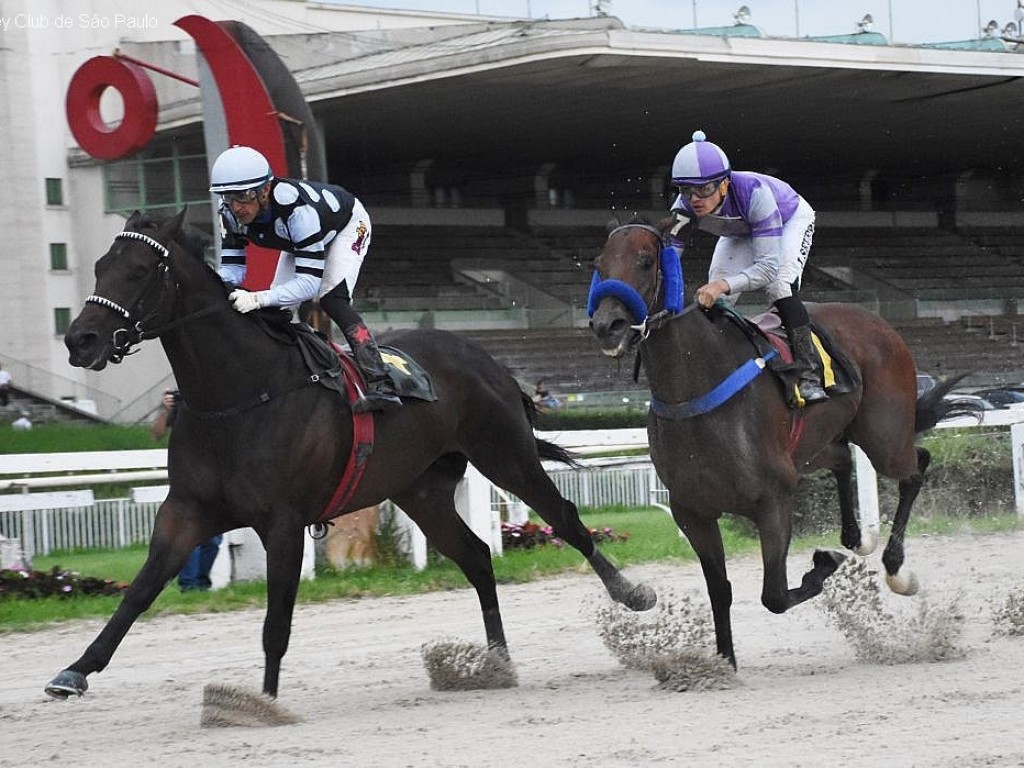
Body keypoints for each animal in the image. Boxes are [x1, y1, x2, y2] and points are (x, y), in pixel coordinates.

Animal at [46, 210, 655, 704]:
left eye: (140, 271)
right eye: (99, 266)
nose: (80, 340)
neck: (239, 393)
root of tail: (486, 357)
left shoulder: (283, 521)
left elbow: (276, 620)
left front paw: (264, 702)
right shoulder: (186, 510)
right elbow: (139, 592)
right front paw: (75, 672)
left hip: (507, 456)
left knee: (568, 522)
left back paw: (630, 592)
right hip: (420, 490)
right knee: (478, 557)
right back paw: (497, 662)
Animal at [589, 219, 970, 671]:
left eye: (646, 261)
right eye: (599, 262)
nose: (606, 325)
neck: (695, 390)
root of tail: (877, 322)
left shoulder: (772, 500)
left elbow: (773, 593)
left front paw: (825, 562)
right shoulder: (692, 512)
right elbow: (720, 589)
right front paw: (724, 663)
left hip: (883, 436)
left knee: (916, 465)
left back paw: (897, 571)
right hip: (813, 445)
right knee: (843, 460)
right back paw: (856, 537)